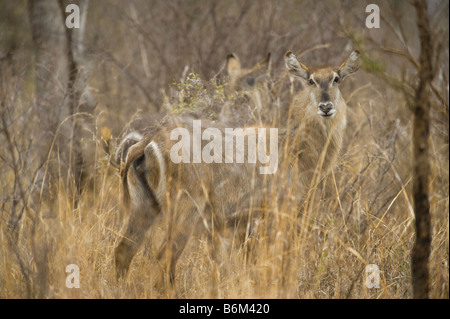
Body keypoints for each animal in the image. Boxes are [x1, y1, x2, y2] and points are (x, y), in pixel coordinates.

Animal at [114, 49, 360, 284]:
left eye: (336, 78)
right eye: (311, 80)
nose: (326, 107)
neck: (297, 147)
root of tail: (147, 142)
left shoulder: (241, 223)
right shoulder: (276, 212)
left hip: (143, 207)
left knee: (123, 252)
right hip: (185, 210)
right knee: (163, 257)